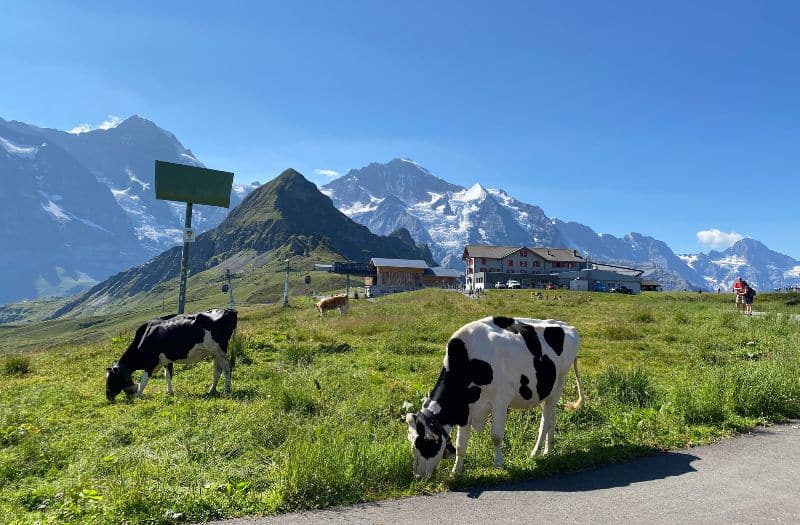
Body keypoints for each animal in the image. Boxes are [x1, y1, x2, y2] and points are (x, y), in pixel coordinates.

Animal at [103, 308, 236, 402]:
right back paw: (211, 390)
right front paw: (170, 392)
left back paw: (226, 391)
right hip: (215, 353)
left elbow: (144, 379)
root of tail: (229, 310)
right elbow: (167, 375)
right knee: (217, 371)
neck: (145, 336)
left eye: (110, 379)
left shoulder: (150, 361)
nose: (108, 397)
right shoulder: (166, 360)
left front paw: (138, 395)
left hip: (219, 350)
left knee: (227, 369)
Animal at [404, 318, 584, 476]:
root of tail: (566, 326)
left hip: (559, 383)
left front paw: (498, 465)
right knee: (552, 417)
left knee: (545, 421)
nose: (418, 476)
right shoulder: (466, 409)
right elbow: (461, 444)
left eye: (426, 444)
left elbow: (496, 437)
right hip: (546, 391)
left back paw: (535, 452)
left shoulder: (500, 401)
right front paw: (456, 472)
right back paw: (548, 450)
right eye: (412, 444)